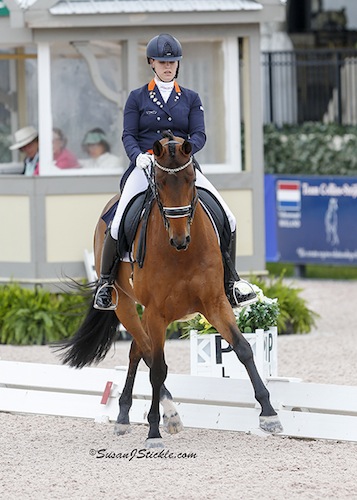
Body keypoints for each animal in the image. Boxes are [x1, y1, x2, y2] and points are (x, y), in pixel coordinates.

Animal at [57, 131, 280, 448]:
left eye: (190, 179)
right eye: (160, 183)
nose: (179, 239)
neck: (182, 254)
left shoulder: (215, 303)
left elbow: (243, 349)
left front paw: (269, 414)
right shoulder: (156, 313)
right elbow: (158, 367)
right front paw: (154, 430)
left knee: (137, 351)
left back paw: (124, 415)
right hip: (126, 306)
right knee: (148, 353)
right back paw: (166, 414)